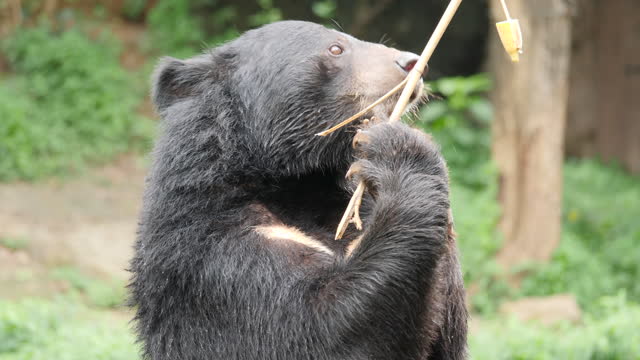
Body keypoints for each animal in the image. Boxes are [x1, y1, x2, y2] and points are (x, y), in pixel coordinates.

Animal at [131, 20, 470, 360]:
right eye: (336, 48)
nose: (413, 63)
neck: (296, 185)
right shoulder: (213, 256)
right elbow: (321, 330)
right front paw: (396, 148)